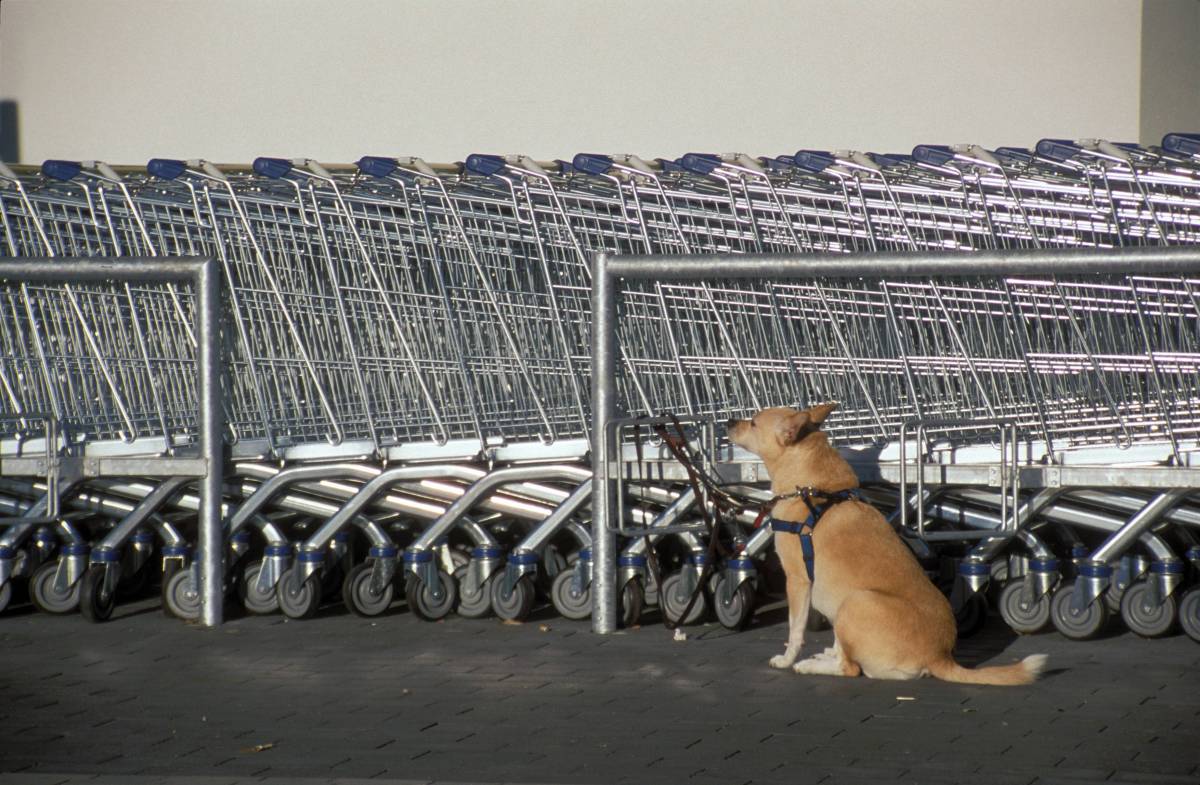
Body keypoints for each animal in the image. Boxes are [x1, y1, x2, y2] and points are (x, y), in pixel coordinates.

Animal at [724, 408, 1046, 686]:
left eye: (753, 422)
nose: (728, 421)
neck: (816, 492)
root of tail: (940, 656)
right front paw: (826, 651)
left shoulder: (798, 581)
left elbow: (795, 628)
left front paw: (787, 659)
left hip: (855, 601)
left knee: (851, 669)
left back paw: (810, 666)